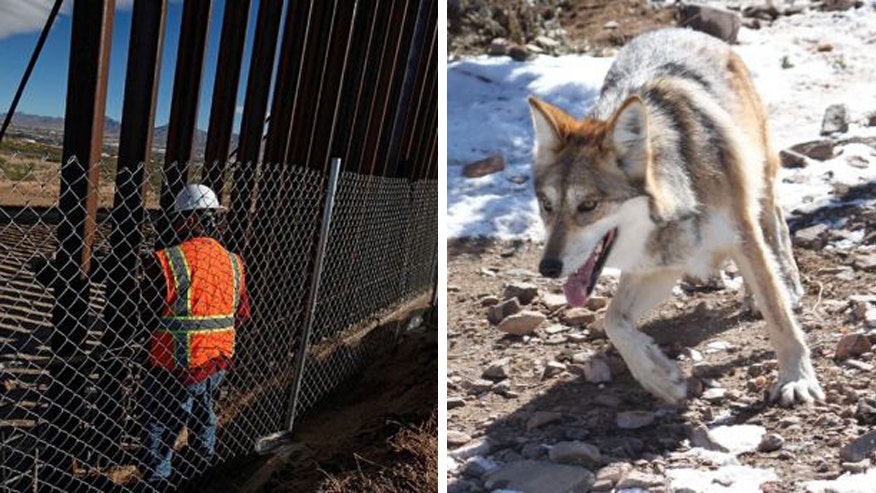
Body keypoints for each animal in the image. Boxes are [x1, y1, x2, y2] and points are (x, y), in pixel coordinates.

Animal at [527, 28, 824, 406]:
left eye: (589, 205)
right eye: (547, 205)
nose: (547, 267)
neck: (685, 190)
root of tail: (681, 30)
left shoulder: (741, 234)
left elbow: (779, 316)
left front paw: (796, 378)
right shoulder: (661, 263)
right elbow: (613, 320)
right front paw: (660, 376)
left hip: (759, 175)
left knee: (776, 223)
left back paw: (785, 284)